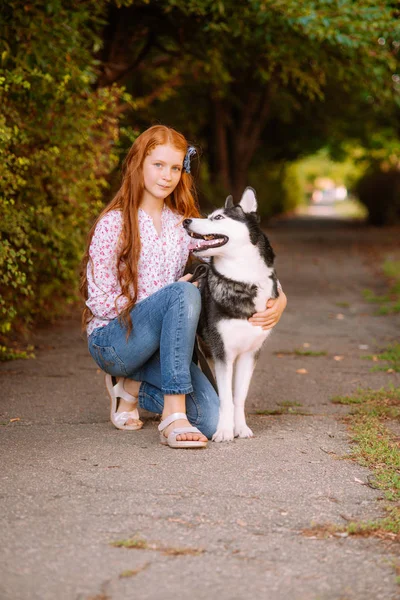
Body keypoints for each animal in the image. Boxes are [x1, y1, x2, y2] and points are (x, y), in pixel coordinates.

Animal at [184, 185, 280, 442]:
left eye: (218, 218)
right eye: (208, 215)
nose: (186, 221)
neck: (243, 281)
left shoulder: (250, 354)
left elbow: (239, 396)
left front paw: (241, 427)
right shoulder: (222, 353)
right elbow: (225, 397)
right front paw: (225, 430)